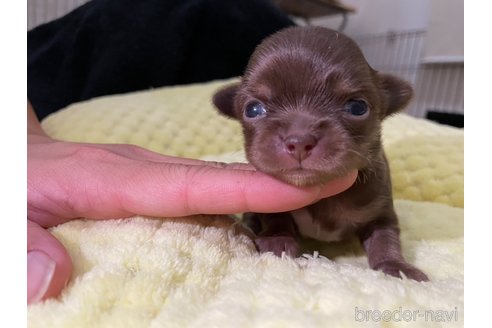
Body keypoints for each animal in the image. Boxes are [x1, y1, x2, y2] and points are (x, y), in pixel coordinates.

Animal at [213, 26, 428, 282]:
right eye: (253, 109)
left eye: (358, 107)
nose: (299, 140)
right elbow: (277, 217)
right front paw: (277, 240)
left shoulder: (380, 210)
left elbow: (385, 238)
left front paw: (396, 267)